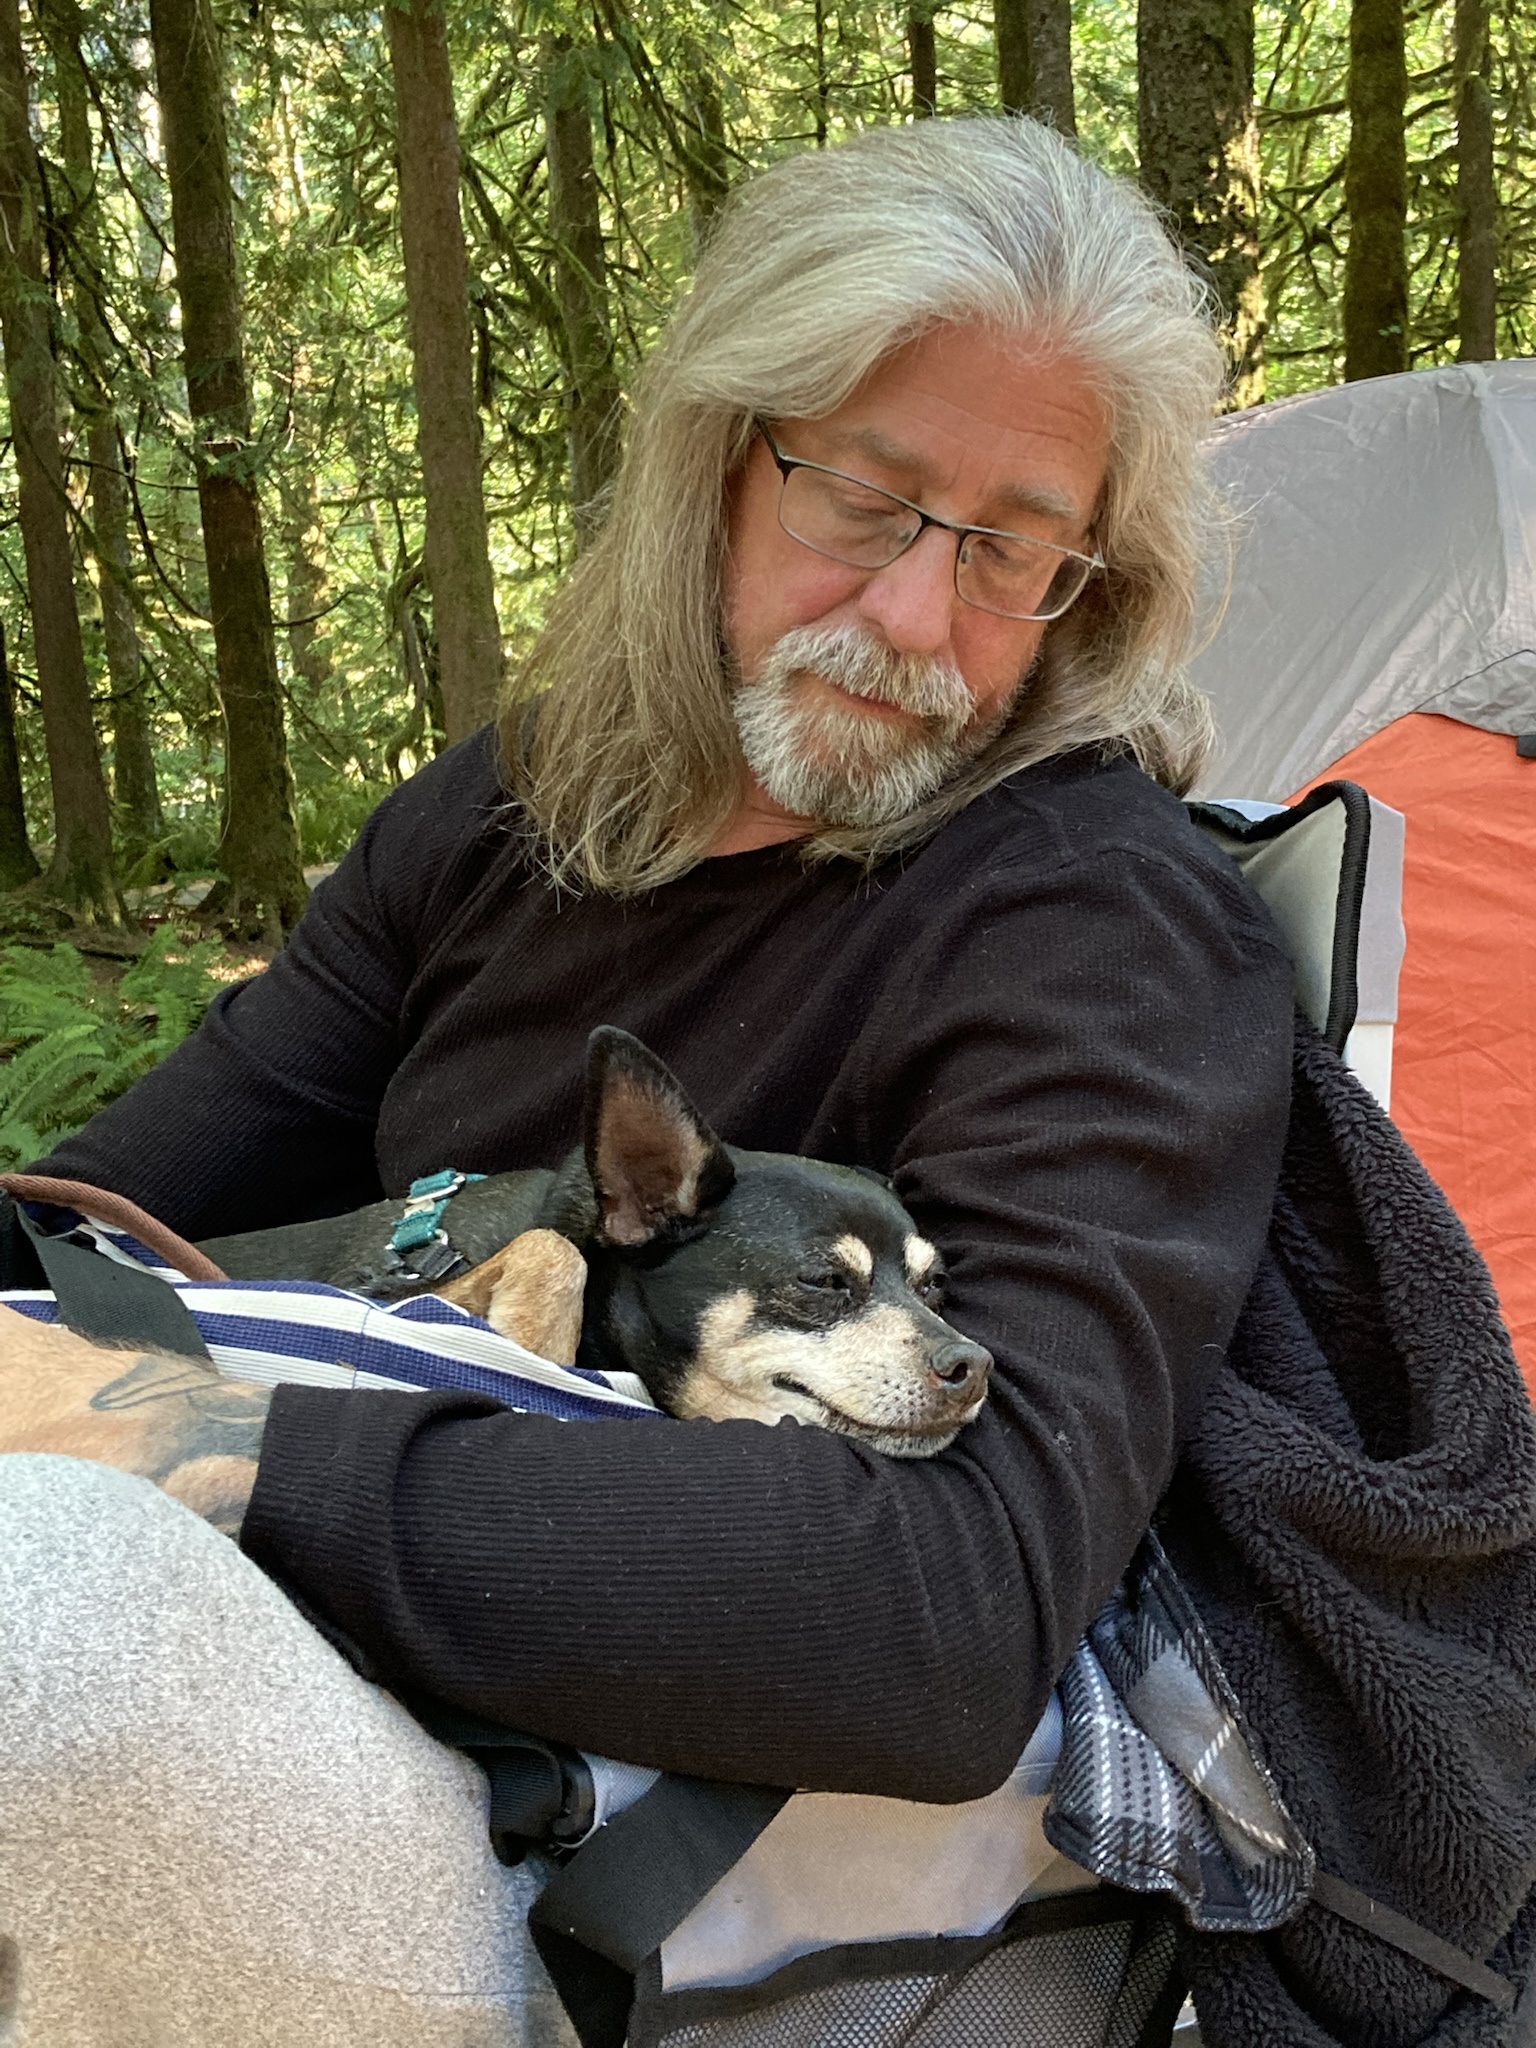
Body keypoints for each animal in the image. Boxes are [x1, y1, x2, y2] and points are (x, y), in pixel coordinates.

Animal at [198, 1024, 991, 1458]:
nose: (975, 1364)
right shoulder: (413, 1290)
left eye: (935, 1287)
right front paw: (529, 1354)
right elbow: (556, 1251)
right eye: (823, 1282)